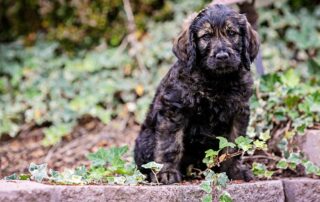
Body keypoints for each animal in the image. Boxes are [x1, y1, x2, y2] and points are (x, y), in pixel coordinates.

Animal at [134, 3, 258, 184]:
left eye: (232, 33)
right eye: (206, 36)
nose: (222, 56)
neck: (216, 80)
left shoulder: (239, 112)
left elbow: (232, 145)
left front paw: (235, 170)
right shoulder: (173, 110)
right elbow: (170, 144)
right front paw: (167, 172)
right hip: (146, 139)